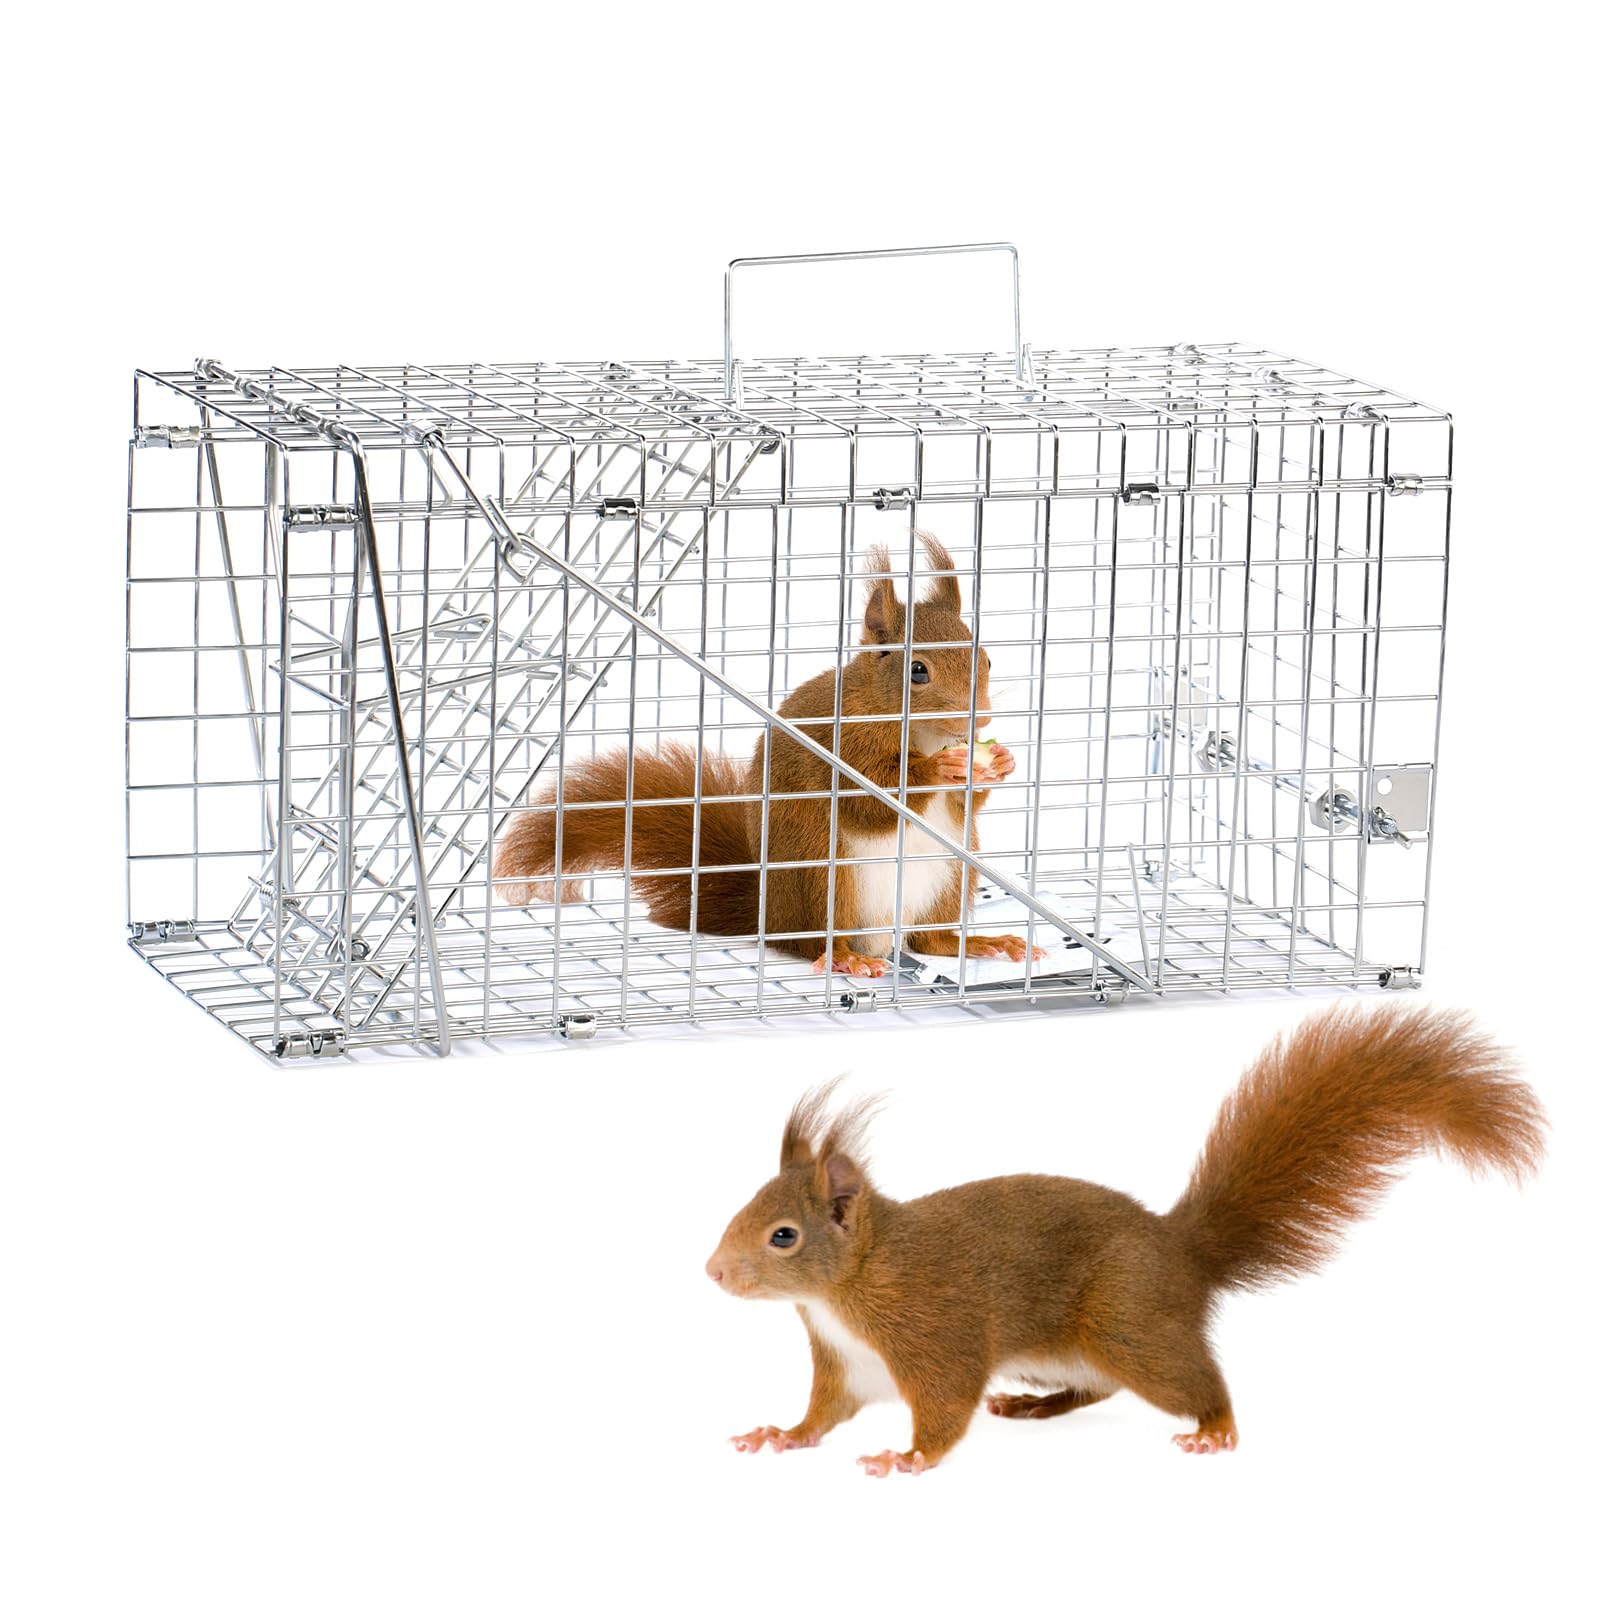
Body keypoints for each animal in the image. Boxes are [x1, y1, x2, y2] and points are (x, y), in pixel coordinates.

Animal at [492, 531, 1042, 977]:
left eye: (986, 658)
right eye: (918, 671)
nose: (979, 721)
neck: (921, 732)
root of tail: (765, 913)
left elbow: (963, 804)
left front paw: (1000, 764)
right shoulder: (840, 744)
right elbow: (870, 802)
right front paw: (935, 768)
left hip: (952, 875)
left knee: (929, 939)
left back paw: (982, 943)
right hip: (822, 874)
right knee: (811, 942)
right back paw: (846, 957)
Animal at [705, 1004, 1546, 1477]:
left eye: (783, 1235)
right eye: (745, 1205)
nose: (712, 1272)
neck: (846, 1291)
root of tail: (1182, 1251)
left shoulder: (934, 1332)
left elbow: (944, 1409)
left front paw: (905, 1457)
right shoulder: (847, 1364)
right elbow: (823, 1413)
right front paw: (780, 1435)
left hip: (1129, 1326)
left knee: (1196, 1383)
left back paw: (1214, 1430)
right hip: (1076, 1348)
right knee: (1096, 1387)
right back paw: (1036, 1408)